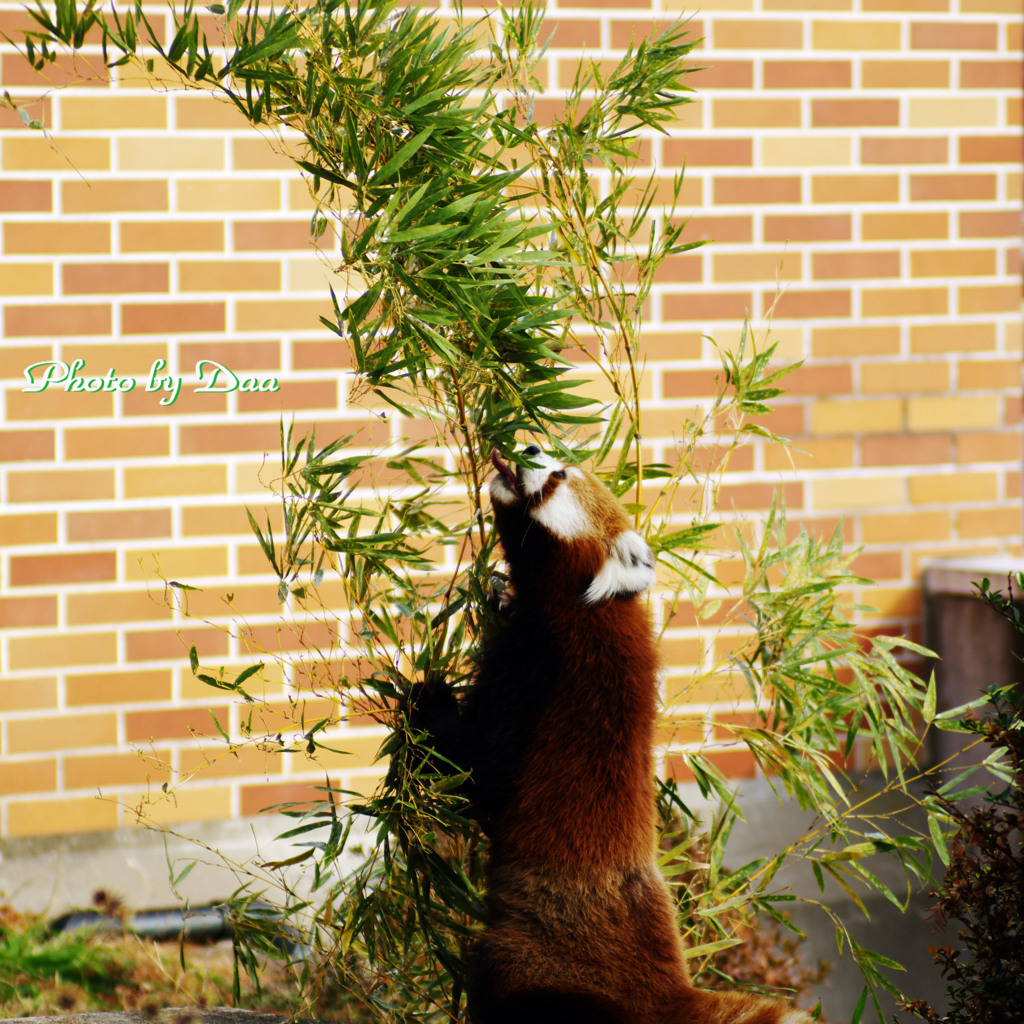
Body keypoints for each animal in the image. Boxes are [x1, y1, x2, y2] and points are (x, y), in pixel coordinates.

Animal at [407, 442, 815, 1024]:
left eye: (559, 474)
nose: (527, 446)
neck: (576, 605)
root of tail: (663, 995)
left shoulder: (538, 675)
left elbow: (476, 771)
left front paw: (426, 705)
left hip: (532, 961)